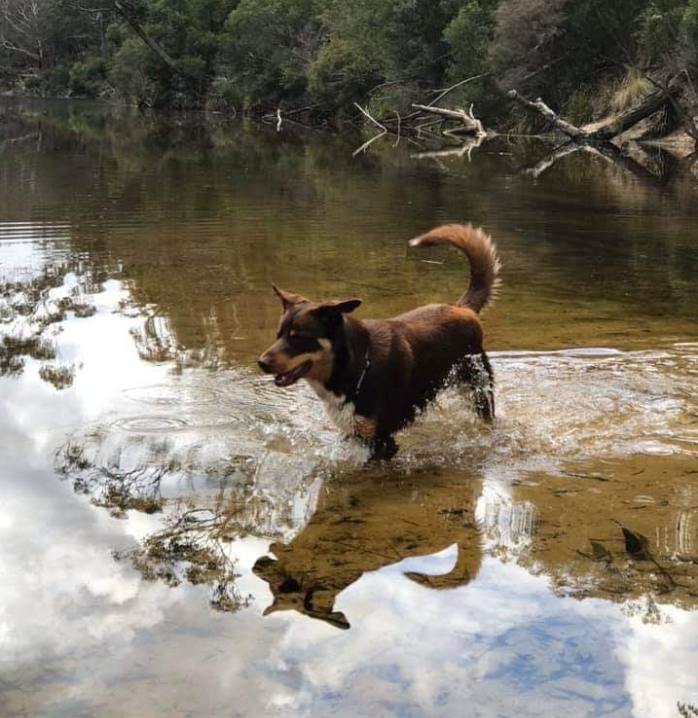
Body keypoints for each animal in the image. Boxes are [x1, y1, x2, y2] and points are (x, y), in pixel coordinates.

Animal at [258, 225, 498, 462]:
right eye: (279, 335)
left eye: (298, 337)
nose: (261, 363)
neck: (359, 366)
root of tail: (463, 309)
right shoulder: (354, 432)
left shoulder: (381, 441)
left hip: (479, 387)